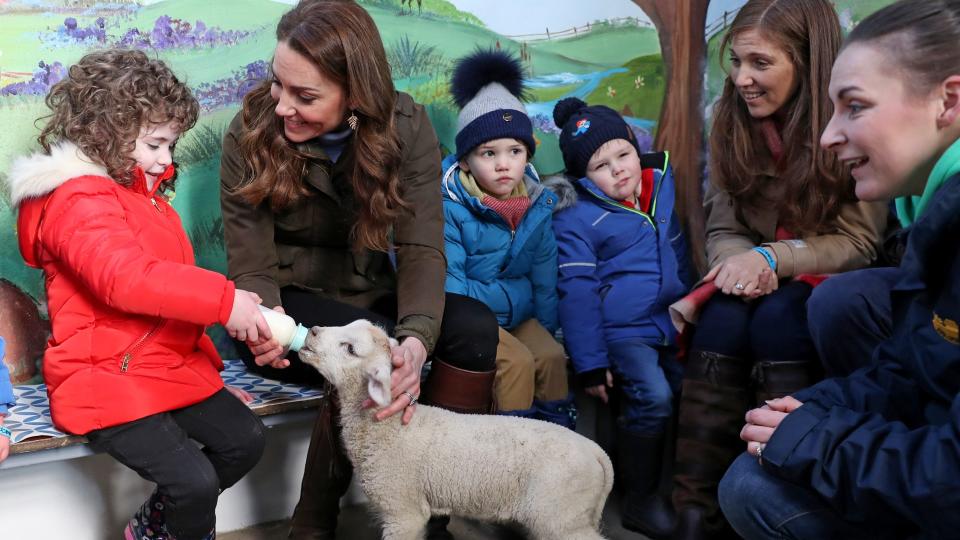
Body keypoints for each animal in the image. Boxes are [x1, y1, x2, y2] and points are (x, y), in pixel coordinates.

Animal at [298, 320, 616, 540]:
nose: (312, 331)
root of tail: (597, 452)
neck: (391, 430)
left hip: (560, 514)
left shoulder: (403, 510)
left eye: (350, 349)